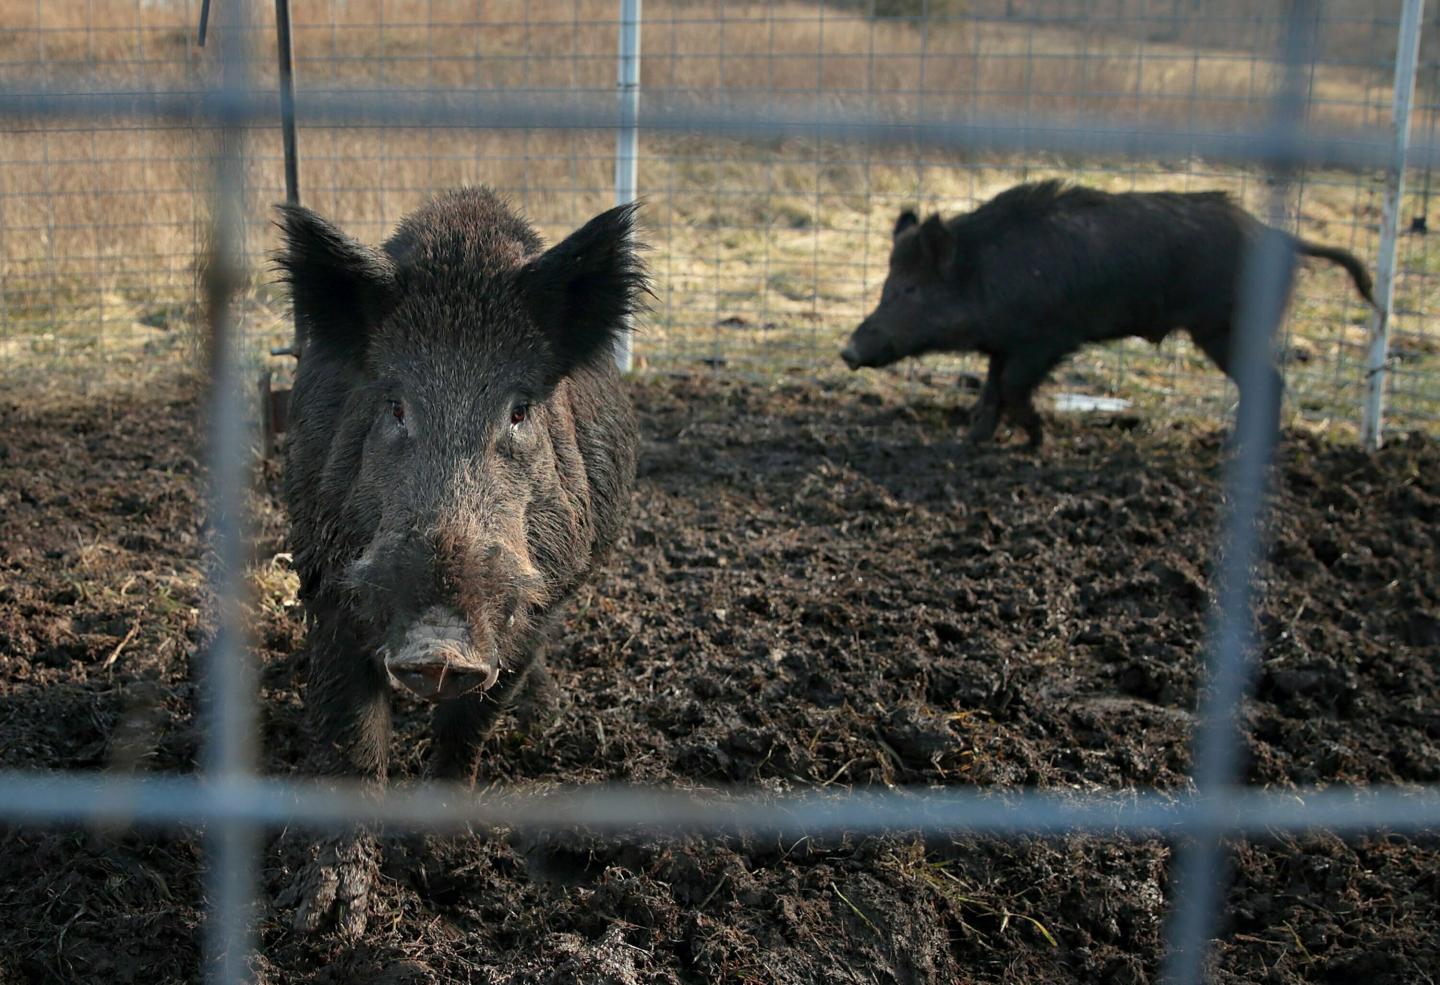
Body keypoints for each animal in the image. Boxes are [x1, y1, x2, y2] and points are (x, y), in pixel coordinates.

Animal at [273, 188, 644, 936]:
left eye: (520, 410)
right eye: (394, 405)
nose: (440, 647)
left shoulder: (539, 604)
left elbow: (469, 728)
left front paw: (437, 857)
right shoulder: (327, 576)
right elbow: (351, 736)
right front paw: (322, 921)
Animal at [840, 180, 1376, 447]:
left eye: (909, 290)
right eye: (885, 286)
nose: (848, 350)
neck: (987, 273)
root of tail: (1281, 237)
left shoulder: (1048, 338)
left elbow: (1011, 388)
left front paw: (1035, 440)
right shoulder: (1005, 342)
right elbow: (991, 392)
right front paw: (969, 441)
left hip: (1225, 327)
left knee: (1270, 381)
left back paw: (1239, 448)